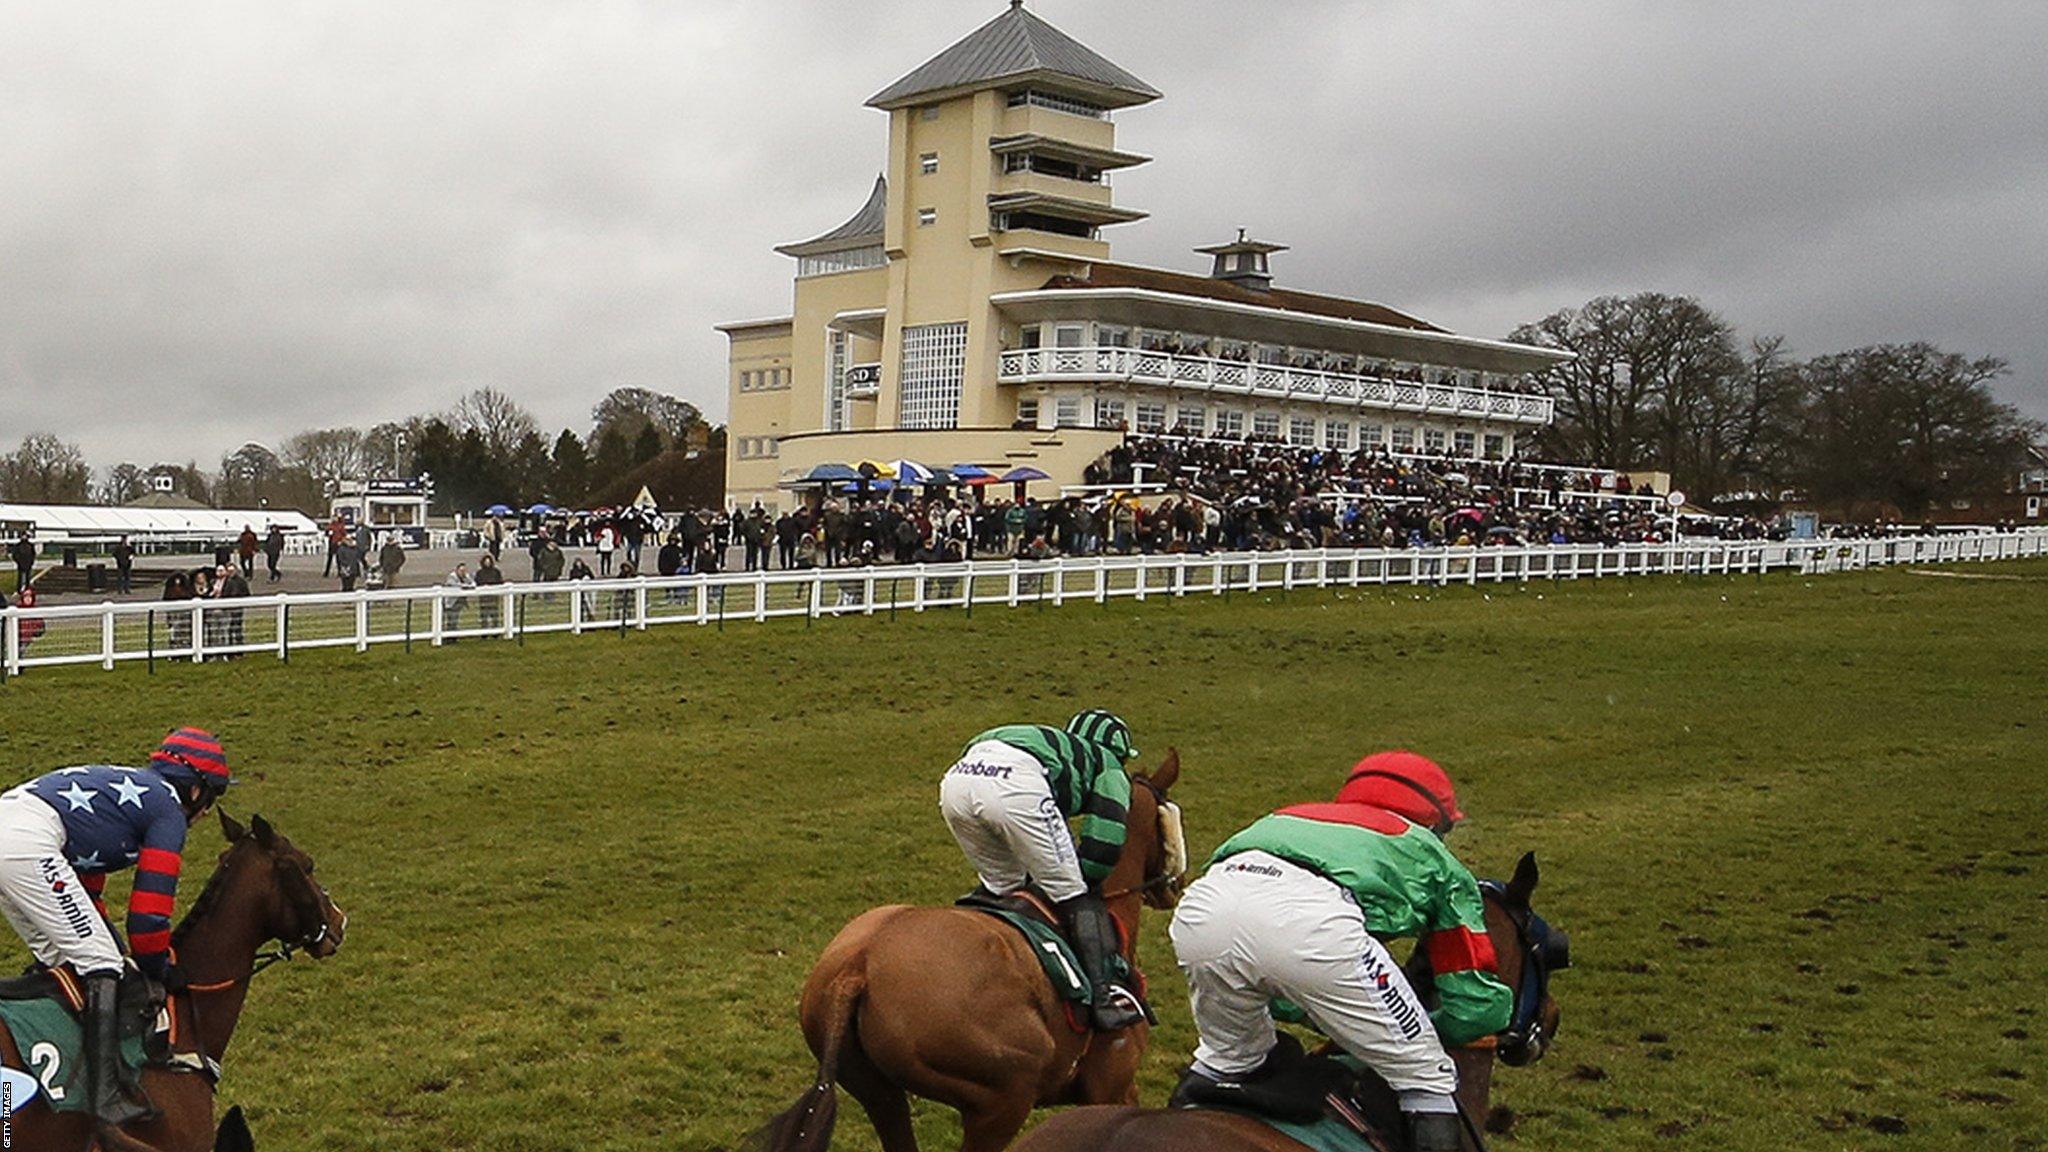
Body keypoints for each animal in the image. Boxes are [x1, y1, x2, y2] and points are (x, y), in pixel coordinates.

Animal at [741, 750, 1187, 1139]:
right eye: (1170, 814)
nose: (1174, 885)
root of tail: (856, 969)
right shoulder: (1111, 1087)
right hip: (1002, 1098)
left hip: (877, 1090)